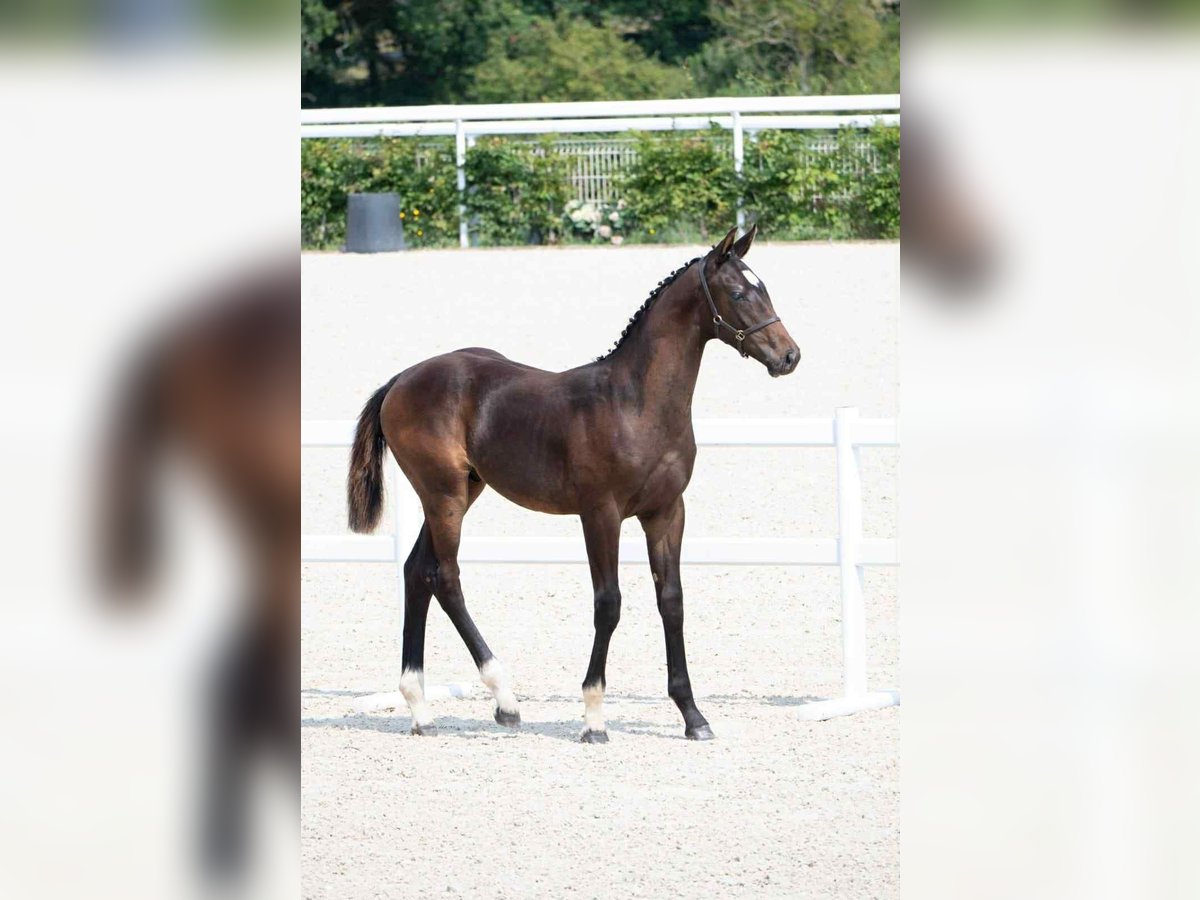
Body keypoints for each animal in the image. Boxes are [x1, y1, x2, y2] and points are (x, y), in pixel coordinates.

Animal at [347, 224, 799, 742]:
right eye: (739, 292)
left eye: (766, 288)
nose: (789, 356)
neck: (636, 403)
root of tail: (402, 379)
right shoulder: (600, 514)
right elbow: (609, 603)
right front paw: (594, 716)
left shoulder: (666, 512)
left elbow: (672, 601)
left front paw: (693, 716)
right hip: (444, 496)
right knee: (446, 577)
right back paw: (502, 699)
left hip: (460, 492)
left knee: (417, 571)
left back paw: (421, 707)